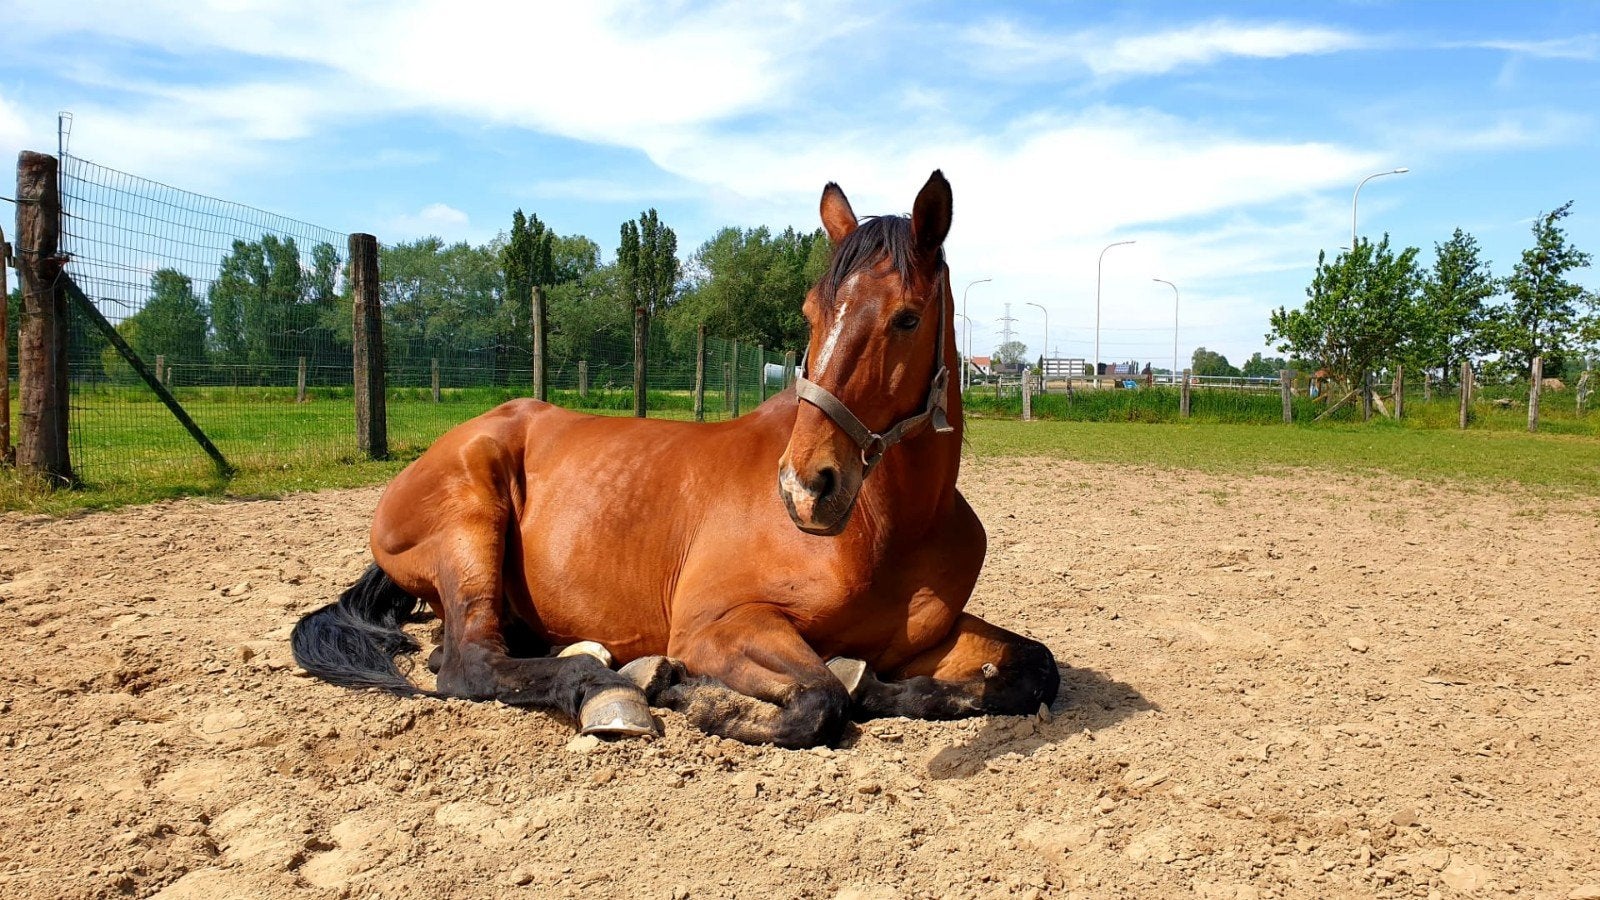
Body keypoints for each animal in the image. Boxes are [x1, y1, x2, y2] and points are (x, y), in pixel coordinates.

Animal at [291, 171, 1060, 748]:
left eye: (906, 317)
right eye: (811, 314)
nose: (806, 488)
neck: (890, 527)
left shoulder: (928, 640)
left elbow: (1030, 670)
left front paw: (877, 685)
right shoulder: (715, 625)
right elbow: (817, 701)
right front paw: (690, 692)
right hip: (470, 525)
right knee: (469, 664)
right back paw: (611, 690)